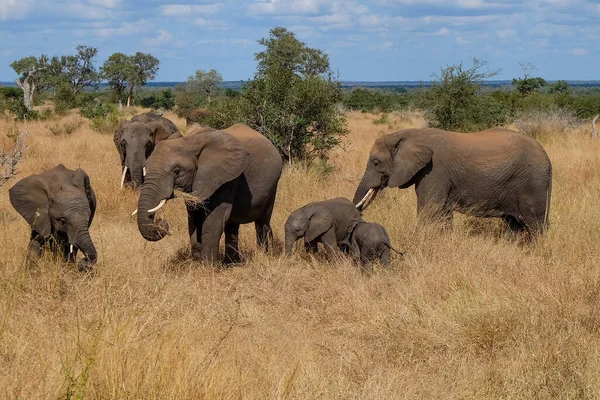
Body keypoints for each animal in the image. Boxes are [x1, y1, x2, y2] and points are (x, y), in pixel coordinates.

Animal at [136, 123, 284, 264]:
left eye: (176, 171)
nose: (160, 221)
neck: (189, 142)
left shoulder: (226, 179)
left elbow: (214, 219)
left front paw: (208, 266)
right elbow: (193, 219)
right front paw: (197, 262)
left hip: (272, 185)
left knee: (262, 222)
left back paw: (262, 256)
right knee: (232, 225)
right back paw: (231, 264)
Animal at [352, 126, 552, 236]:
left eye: (376, 162)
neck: (410, 133)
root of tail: (546, 156)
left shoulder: (434, 170)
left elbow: (429, 209)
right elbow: (443, 212)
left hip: (533, 183)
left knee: (534, 223)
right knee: (515, 225)